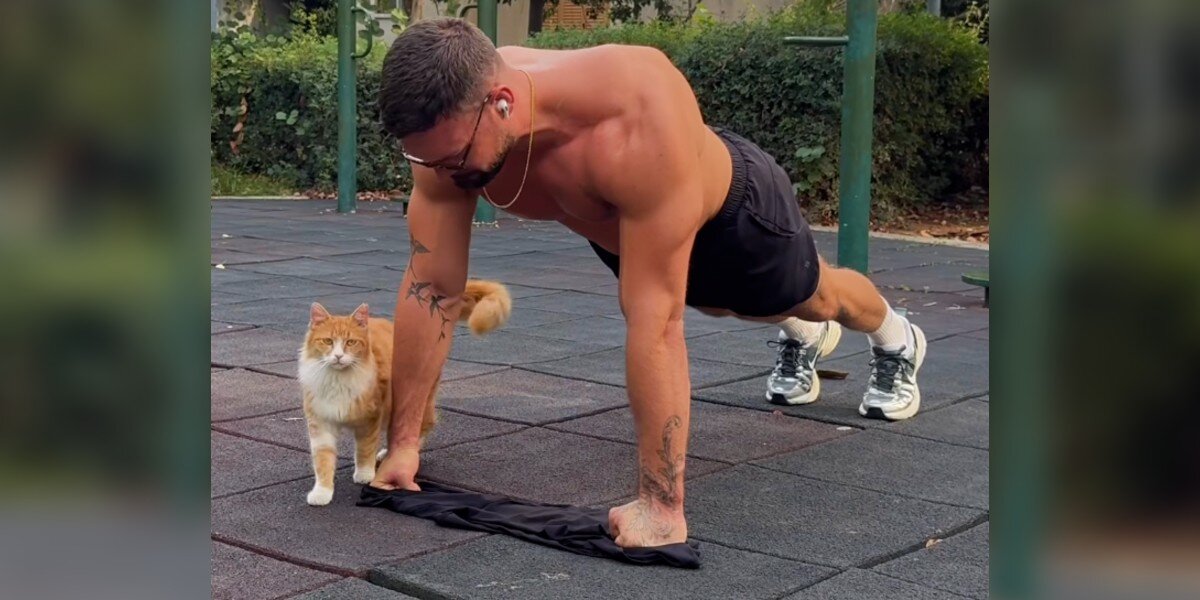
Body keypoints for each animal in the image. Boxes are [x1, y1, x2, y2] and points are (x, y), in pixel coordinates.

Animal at [299, 279, 511, 506]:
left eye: (350, 342)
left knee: (420, 429)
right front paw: (322, 492)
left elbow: (364, 449)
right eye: (328, 341)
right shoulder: (320, 423)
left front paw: (364, 474)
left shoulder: (370, 419)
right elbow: (323, 460)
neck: (338, 379)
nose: (338, 356)